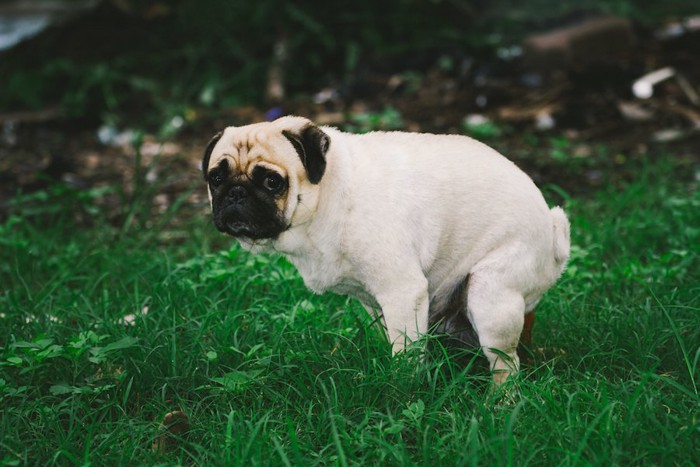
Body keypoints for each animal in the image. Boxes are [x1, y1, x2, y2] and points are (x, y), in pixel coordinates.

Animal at [201, 116, 568, 384]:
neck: (331, 194)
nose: (235, 193)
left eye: (271, 181)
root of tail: (553, 233)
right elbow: (390, 337)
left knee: (506, 364)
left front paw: (402, 387)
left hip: (490, 292)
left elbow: (405, 352)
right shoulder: (374, 302)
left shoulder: (402, 292)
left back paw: (499, 405)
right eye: (216, 179)